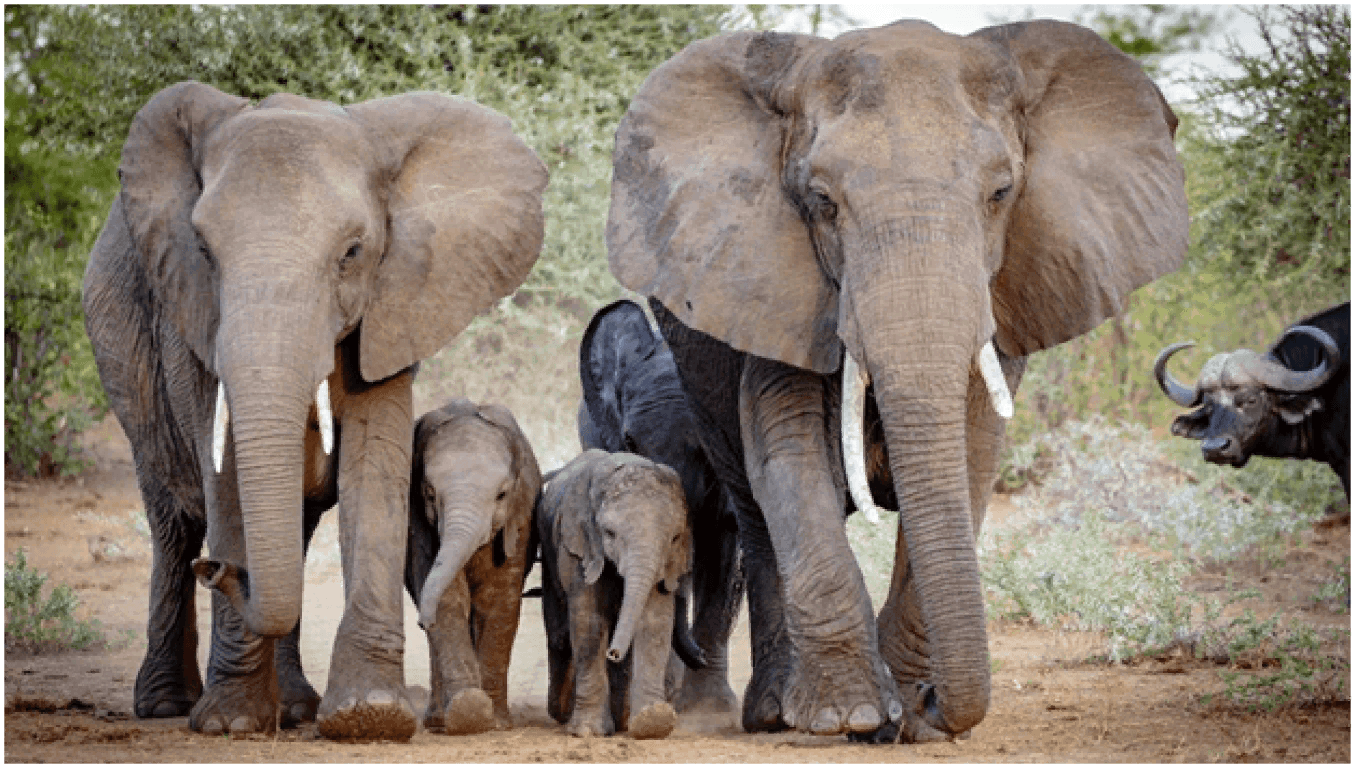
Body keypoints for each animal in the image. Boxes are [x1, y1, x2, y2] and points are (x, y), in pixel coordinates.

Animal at [403, 400, 542, 736]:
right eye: (429, 494)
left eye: (502, 495)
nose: (421, 622)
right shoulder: (417, 524)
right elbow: (450, 599)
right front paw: (469, 712)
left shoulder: (521, 518)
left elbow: (497, 600)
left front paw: (497, 722)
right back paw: (438, 720)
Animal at [531, 449, 699, 736]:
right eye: (609, 533)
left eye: (675, 538)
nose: (614, 653)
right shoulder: (578, 547)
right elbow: (588, 621)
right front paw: (588, 732)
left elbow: (656, 621)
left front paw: (653, 722)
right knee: (559, 633)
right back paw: (562, 713)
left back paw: (622, 719)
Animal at [607, 19, 1186, 736]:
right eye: (821, 202)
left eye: (1001, 193)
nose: (939, 700)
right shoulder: (776, 285)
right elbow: (788, 454)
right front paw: (849, 716)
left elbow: (971, 454)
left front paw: (909, 713)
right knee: (755, 518)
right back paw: (771, 711)